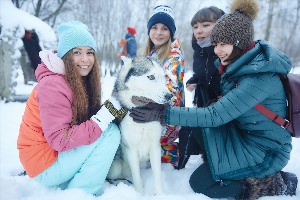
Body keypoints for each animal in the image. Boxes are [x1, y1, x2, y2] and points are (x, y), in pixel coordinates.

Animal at [108, 55, 171, 194]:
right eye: (151, 77)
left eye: (163, 77)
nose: (169, 96)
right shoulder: (131, 149)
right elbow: (137, 177)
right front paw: (140, 193)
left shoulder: (155, 146)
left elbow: (157, 175)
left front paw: (161, 194)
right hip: (115, 168)